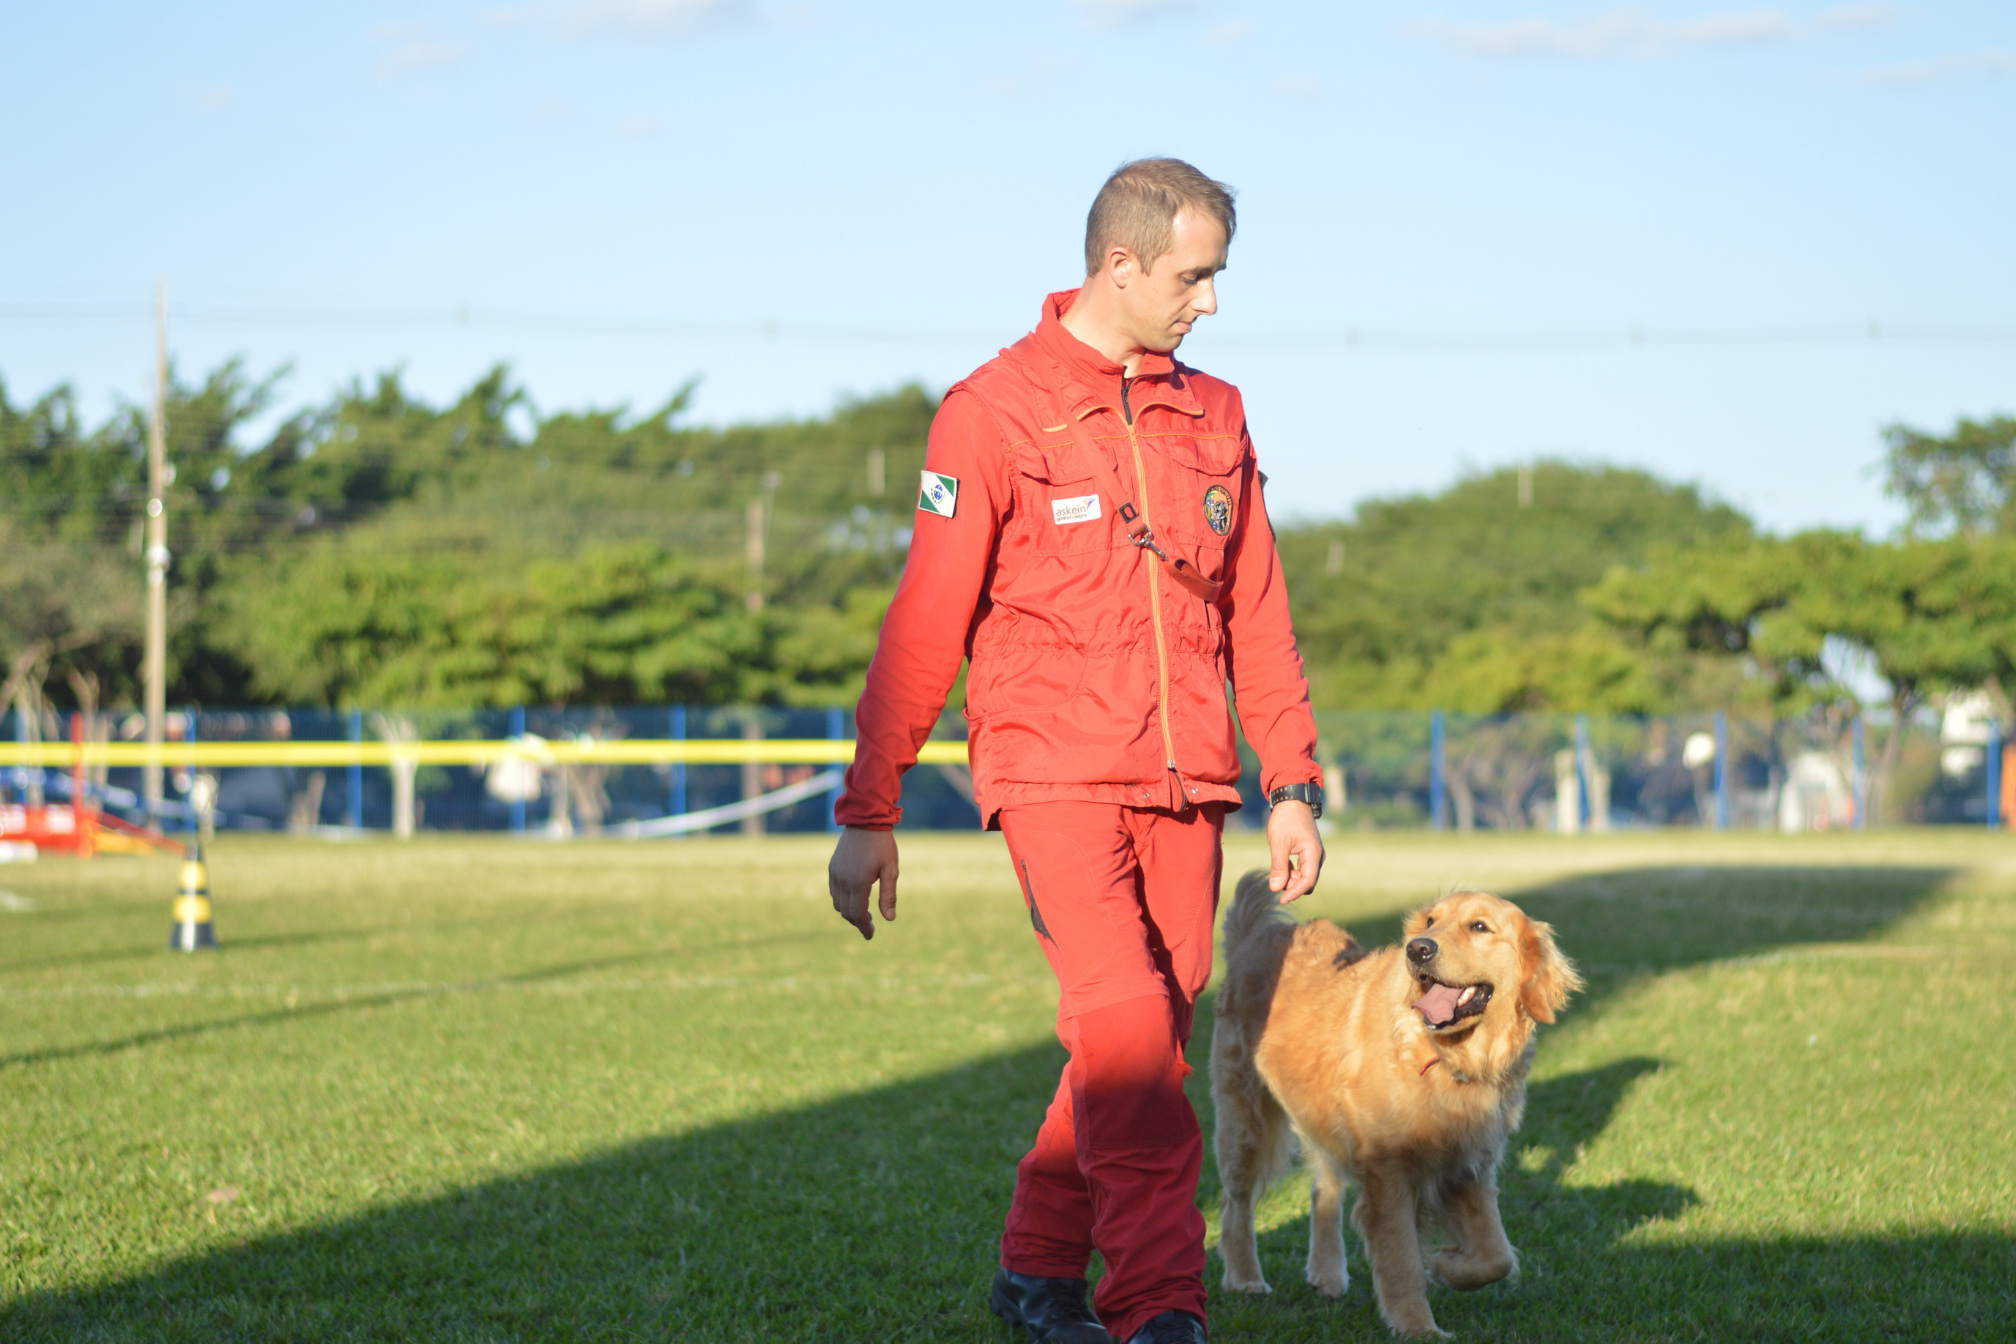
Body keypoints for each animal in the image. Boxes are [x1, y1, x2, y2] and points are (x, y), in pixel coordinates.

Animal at [1209, 874, 1572, 1337]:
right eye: (1432, 921)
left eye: (1479, 927)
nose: (1418, 948)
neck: (1449, 1058)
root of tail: (1256, 933)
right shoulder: (1389, 1173)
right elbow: (1402, 1262)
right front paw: (1419, 1328)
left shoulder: (1469, 1167)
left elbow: (1498, 1256)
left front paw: (1447, 1265)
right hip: (1246, 1121)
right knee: (1235, 1202)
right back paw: (1245, 1279)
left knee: (1323, 1190)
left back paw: (1327, 1274)